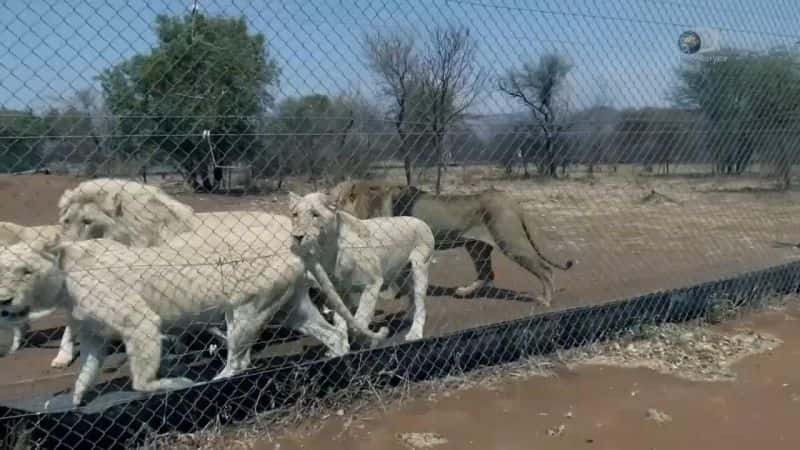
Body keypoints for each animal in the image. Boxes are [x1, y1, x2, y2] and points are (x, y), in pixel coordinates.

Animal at [0, 223, 388, 406]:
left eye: (25, 271)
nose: (4, 301)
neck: (63, 285)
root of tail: (293, 247)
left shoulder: (139, 322)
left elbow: (141, 380)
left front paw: (175, 384)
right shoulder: (94, 336)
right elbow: (86, 370)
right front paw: (76, 399)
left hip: (246, 308)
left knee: (238, 361)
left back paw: (209, 383)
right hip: (293, 307)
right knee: (332, 333)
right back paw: (333, 362)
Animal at [290, 192, 434, 342]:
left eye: (315, 215)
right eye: (295, 214)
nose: (297, 236)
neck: (328, 249)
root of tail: (420, 221)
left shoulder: (373, 282)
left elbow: (361, 316)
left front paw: (364, 336)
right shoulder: (339, 290)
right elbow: (340, 318)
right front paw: (343, 342)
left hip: (420, 267)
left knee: (420, 303)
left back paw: (415, 333)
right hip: (401, 276)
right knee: (411, 296)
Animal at [332, 181, 576, 308]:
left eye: (335, 199)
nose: (331, 209)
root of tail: (511, 200)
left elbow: (395, 277)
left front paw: (388, 295)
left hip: (510, 242)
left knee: (545, 269)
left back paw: (545, 299)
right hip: (476, 247)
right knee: (487, 274)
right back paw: (464, 292)